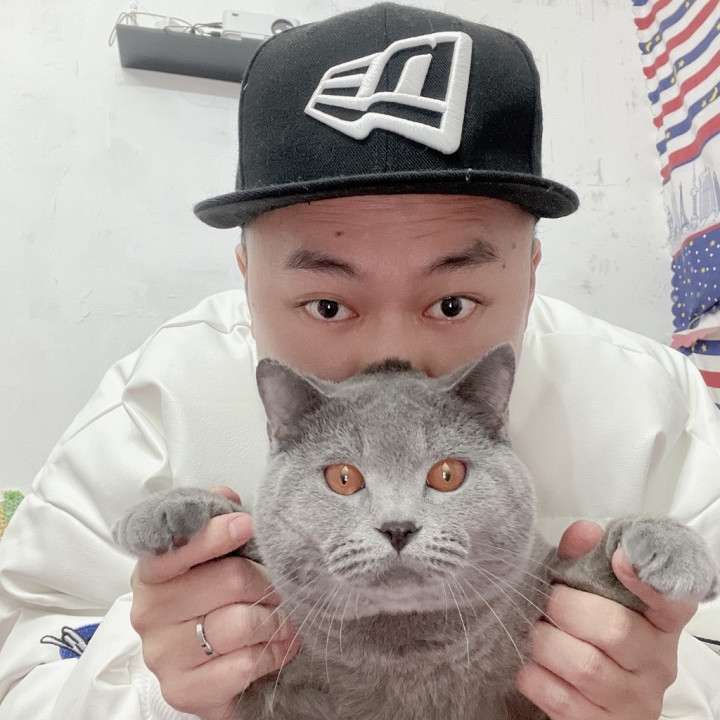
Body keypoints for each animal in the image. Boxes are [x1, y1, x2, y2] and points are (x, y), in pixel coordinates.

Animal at [114, 345, 718, 720]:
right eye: (343, 477)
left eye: (447, 474)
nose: (398, 526)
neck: (406, 650)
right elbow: (240, 526)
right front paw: (157, 512)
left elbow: (595, 564)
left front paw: (679, 553)